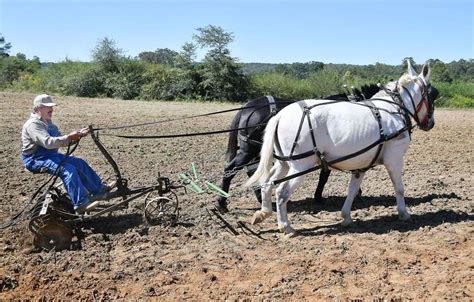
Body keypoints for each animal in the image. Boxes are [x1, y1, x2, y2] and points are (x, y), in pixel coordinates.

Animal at [216, 83, 382, 212]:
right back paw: (221, 202)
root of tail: (246, 107)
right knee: (230, 169)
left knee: (252, 170)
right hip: (249, 150)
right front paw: (320, 197)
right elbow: (325, 176)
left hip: (255, 151)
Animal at [246, 61, 436, 237]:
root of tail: (279, 115)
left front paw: (346, 217)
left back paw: (263, 212)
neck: (394, 109)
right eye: (433, 95)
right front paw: (404, 213)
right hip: (300, 166)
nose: (431, 124)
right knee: (281, 192)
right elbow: (399, 188)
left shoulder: (361, 166)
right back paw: (286, 227)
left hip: (283, 163)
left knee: (267, 182)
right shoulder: (394, 159)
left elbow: (352, 191)